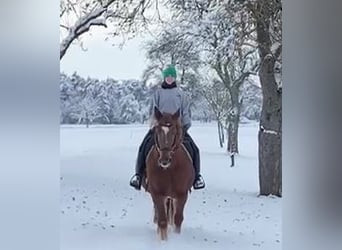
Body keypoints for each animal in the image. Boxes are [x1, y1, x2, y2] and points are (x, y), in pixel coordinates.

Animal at [142, 107, 195, 240]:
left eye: (174, 133)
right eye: (157, 131)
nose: (164, 160)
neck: (170, 169)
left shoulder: (182, 195)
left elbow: (178, 219)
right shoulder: (157, 194)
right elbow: (162, 221)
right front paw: (164, 240)